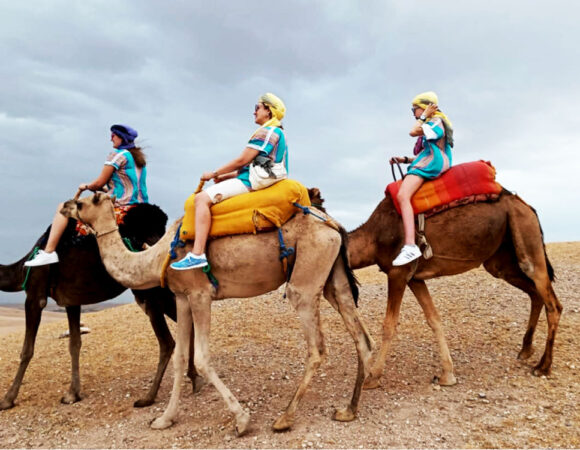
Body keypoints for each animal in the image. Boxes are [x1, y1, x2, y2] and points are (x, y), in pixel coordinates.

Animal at [0, 205, 199, 412]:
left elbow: (27, 350)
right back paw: (194, 378)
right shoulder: (71, 301)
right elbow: (74, 344)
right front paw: (73, 394)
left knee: (167, 341)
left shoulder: (34, 295)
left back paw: (148, 397)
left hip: (150, 291)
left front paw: (7, 399)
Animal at [314, 160, 560, 388]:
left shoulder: (397, 272)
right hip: (501, 260)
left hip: (525, 233)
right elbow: (434, 319)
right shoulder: (415, 278)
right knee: (534, 293)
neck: (373, 238)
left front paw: (373, 377)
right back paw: (526, 350)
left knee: (551, 301)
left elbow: (389, 325)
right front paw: (447, 375)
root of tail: (527, 206)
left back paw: (543, 366)